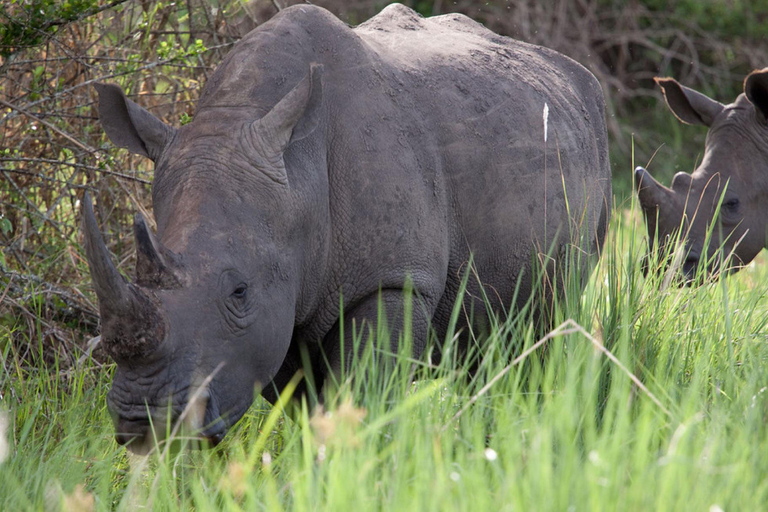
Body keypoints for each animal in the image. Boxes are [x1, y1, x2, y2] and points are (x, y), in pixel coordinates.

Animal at [84, 3, 611, 453]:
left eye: (239, 292)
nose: (143, 423)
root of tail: (573, 71)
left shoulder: (393, 280)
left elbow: (360, 398)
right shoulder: (287, 305)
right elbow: (308, 409)